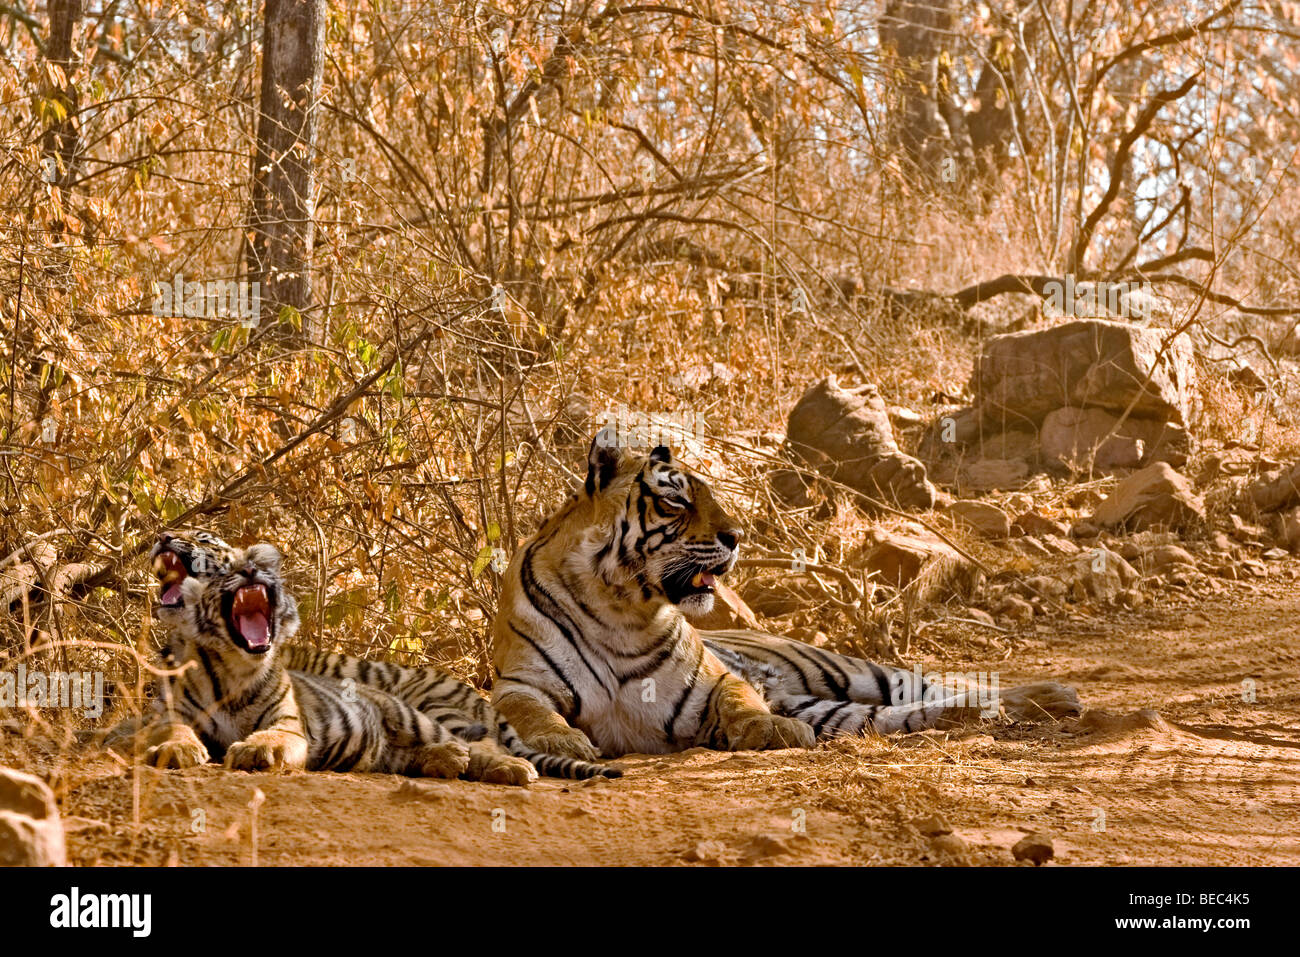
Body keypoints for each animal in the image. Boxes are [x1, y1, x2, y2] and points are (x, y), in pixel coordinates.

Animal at [488, 434, 1076, 764]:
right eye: (677, 500)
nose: (736, 537)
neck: (622, 605)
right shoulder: (522, 683)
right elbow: (528, 712)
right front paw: (561, 742)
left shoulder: (716, 680)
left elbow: (739, 698)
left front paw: (769, 729)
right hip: (838, 708)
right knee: (916, 711)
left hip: (849, 669)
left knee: (948, 684)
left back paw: (1055, 695)